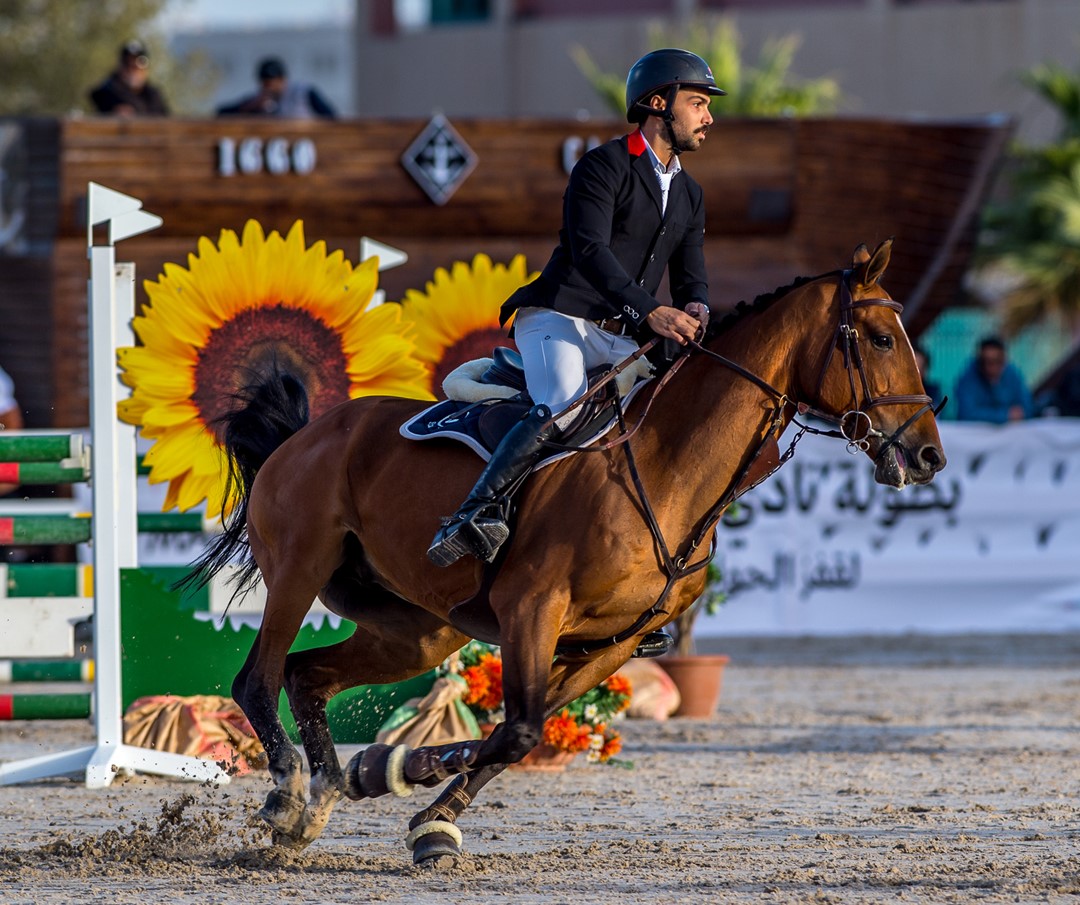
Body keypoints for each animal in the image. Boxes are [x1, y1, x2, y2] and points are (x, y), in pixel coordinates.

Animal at [189, 238, 945, 865]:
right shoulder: (534, 608)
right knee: (257, 678)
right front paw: (402, 786)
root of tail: (307, 432)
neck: (668, 466)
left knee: (308, 676)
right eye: (882, 338)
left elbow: (521, 730)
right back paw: (287, 797)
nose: (928, 456)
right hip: (300, 568)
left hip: (418, 630)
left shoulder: (611, 642)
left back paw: (317, 799)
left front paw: (416, 802)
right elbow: (520, 729)